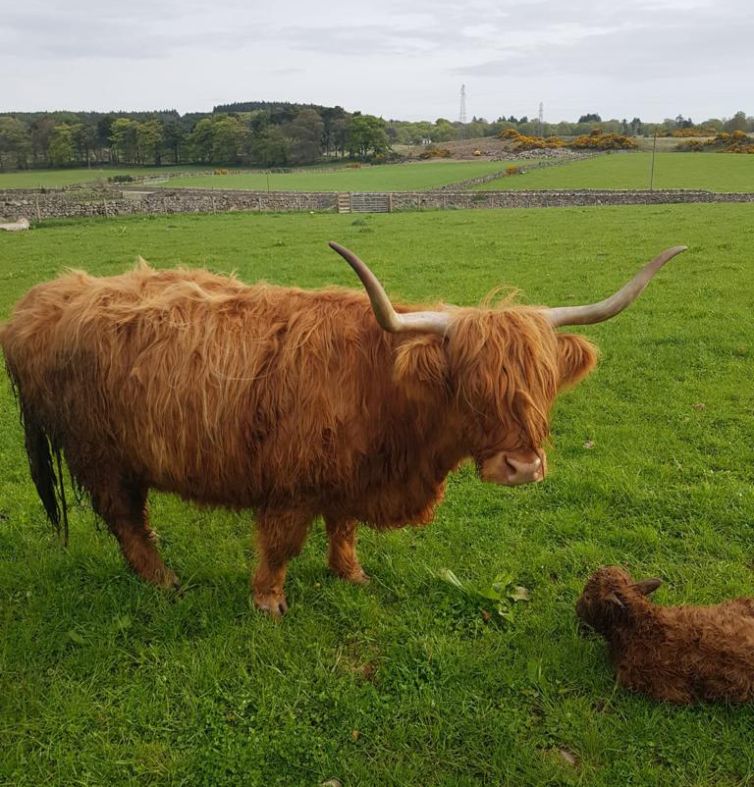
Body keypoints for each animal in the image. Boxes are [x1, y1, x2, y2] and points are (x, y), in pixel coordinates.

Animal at [0, 242, 680, 616]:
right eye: (470, 383)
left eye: (542, 383)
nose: (521, 467)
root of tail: (45, 299)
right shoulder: (291, 482)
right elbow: (280, 544)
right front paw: (268, 601)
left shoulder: (351, 473)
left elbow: (344, 526)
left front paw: (350, 573)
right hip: (102, 453)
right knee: (125, 519)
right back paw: (164, 581)